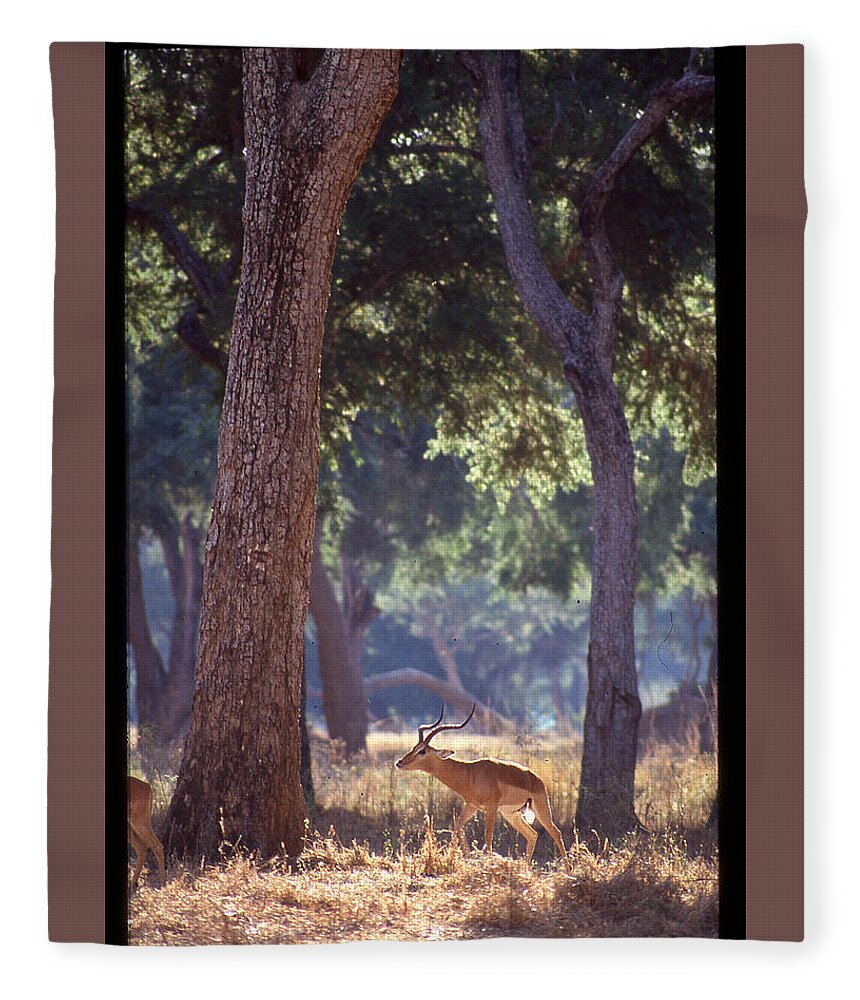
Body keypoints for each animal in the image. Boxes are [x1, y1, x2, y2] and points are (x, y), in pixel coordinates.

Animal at [396, 700, 572, 872]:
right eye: (414, 747)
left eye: (422, 751)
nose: (400, 762)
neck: (470, 773)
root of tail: (537, 779)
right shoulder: (472, 806)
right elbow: (457, 826)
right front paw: (465, 857)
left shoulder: (491, 807)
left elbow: (488, 837)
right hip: (511, 814)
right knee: (532, 835)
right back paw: (525, 870)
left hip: (540, 809)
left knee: (556, 832)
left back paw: (569, 871)